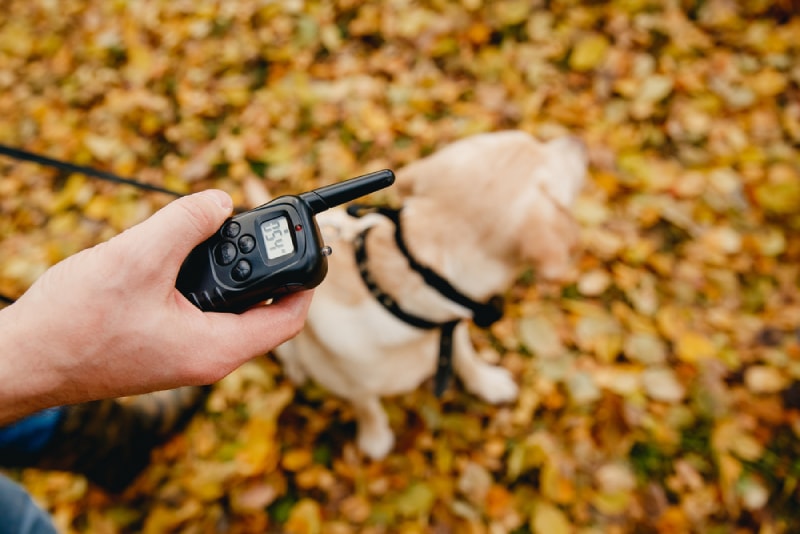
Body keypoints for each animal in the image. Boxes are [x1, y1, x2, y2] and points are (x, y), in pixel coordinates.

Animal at [276, 131, 588, 460]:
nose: (578, 139)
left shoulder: (453, 327)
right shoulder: (348, 382)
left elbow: (467, 356)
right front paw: (375, 436)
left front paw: (486, 382)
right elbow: (366, 405)